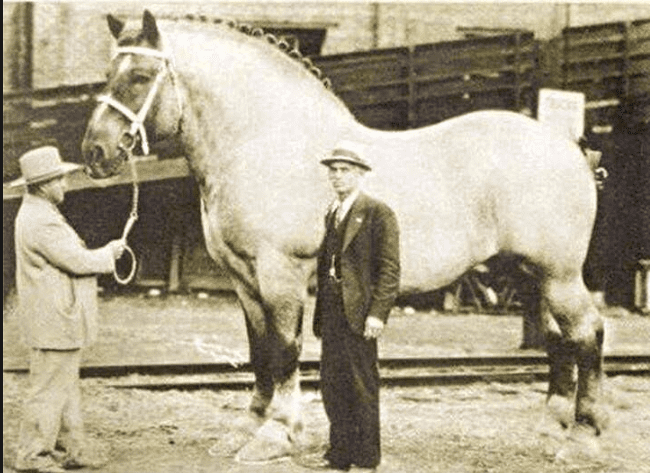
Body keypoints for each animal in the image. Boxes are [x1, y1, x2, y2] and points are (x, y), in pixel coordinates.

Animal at [81, 10, 606, 462]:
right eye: (109, 73)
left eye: (139, 76)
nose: (95, 152)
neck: (266, 142)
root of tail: (572, 150)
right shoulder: (244, 279)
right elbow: (259, 351)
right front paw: (248, 427)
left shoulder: (281, 274)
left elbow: (285, 350)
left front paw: (276, 434)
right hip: (531, 274)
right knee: (558, 338)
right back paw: (550, 428)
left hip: (559, 275)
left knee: (587, 333)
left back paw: (583, 436)